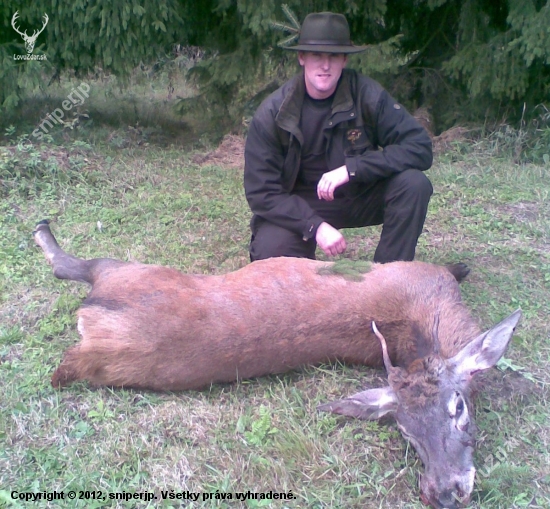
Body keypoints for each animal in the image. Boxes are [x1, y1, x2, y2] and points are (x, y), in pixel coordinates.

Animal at [32, 219, 524, 508]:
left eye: (458, 408)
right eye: (404, 429)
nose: (444, 493)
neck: (429, 316)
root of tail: (90, 338)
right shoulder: (420, 269)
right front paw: (463, 265)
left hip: (128, 276)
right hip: (132, 271)